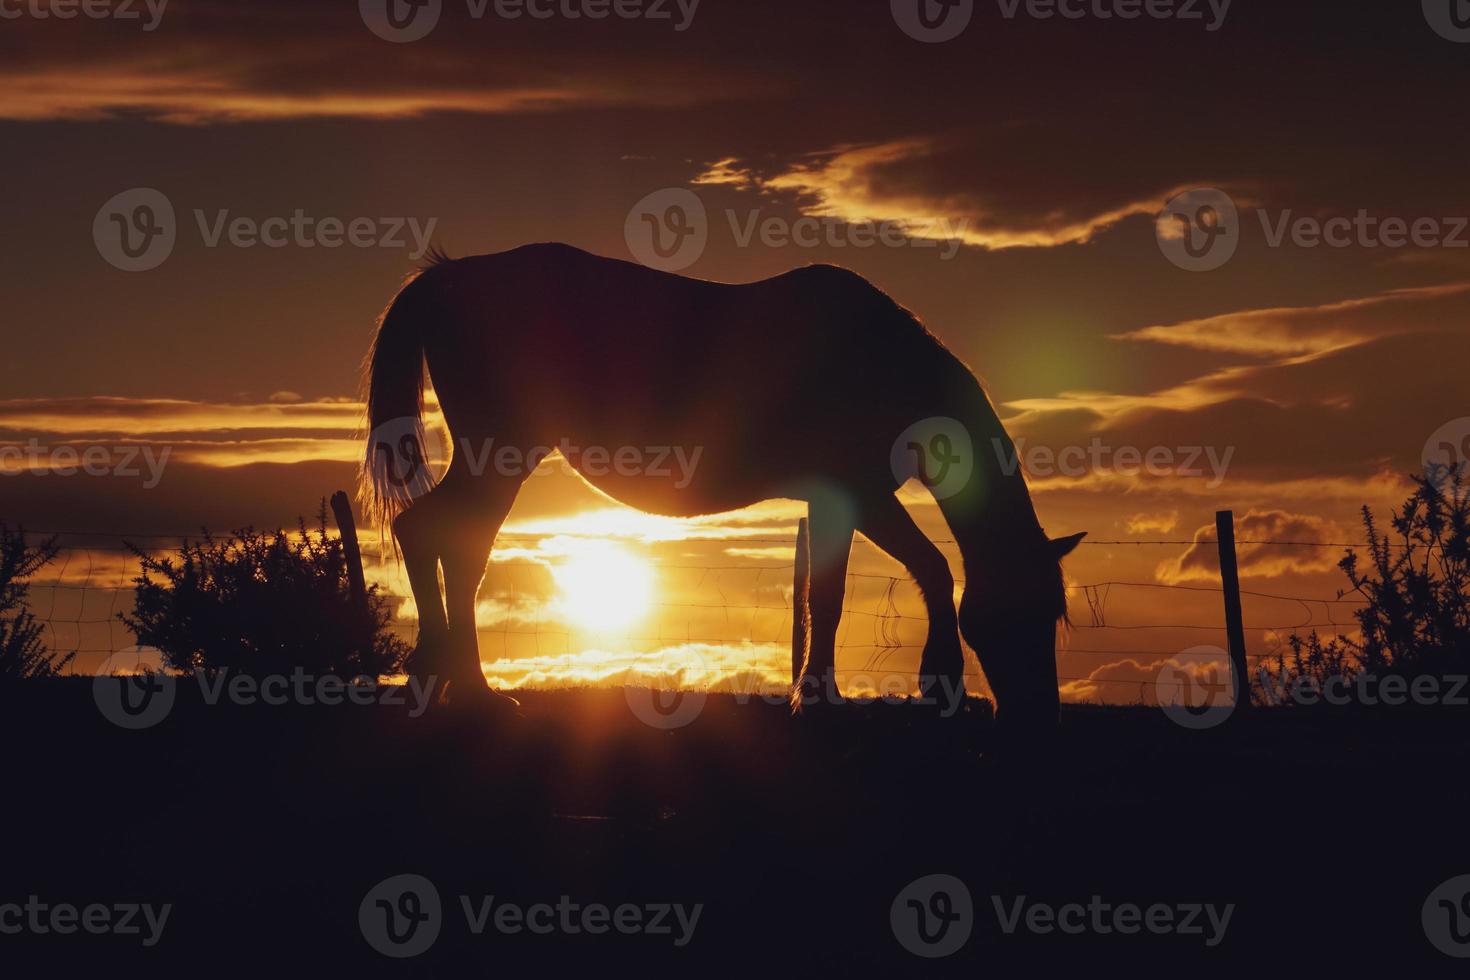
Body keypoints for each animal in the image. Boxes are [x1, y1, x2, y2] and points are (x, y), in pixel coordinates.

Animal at [361, 243, 1087, 734]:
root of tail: (448, 274)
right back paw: (471, 691)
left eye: (1054, 614)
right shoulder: (853, 493)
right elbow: (883, 584)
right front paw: (878, 693)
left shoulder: (846, 499)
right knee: (447, 541)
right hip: (500, 454)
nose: (1041, 719)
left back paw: (445, 681)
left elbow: (853, 589)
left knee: (440, 539)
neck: (881, 360)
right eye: (1023, 613)